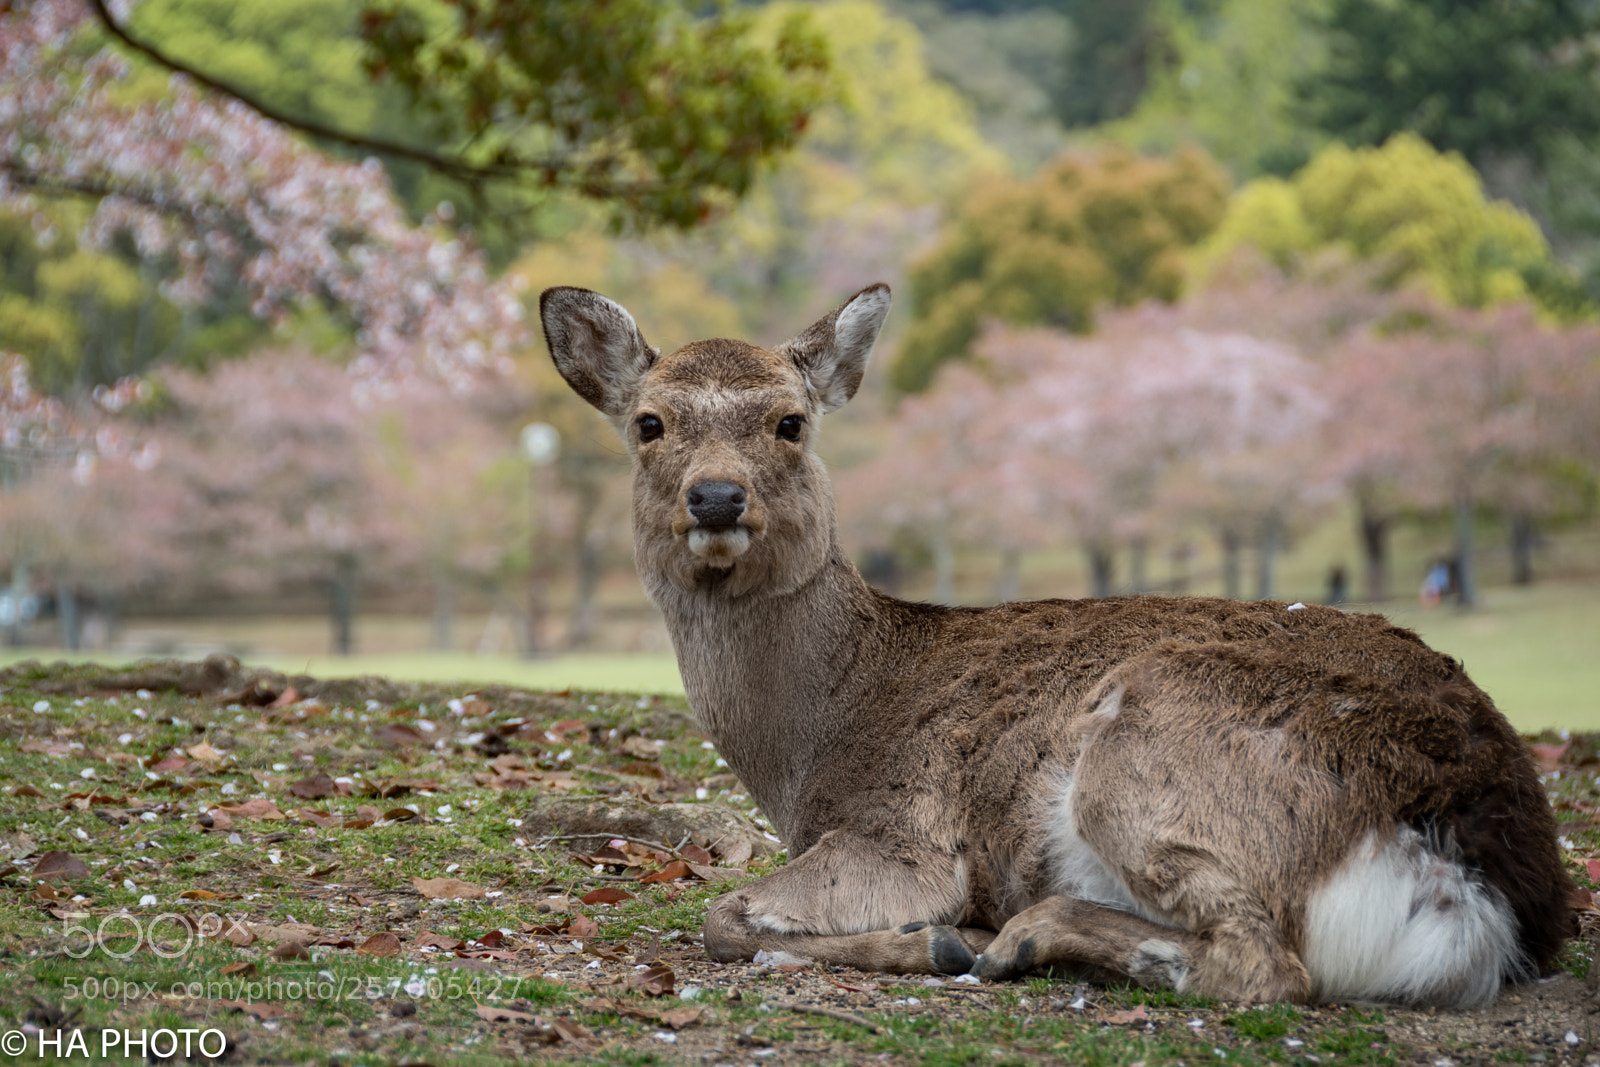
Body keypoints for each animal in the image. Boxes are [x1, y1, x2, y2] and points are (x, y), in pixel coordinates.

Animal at [540, 279, 1574, 1004]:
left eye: (790, 421)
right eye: (648, 422)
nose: (716, 497)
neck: (815, 746)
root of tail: (1486, 877)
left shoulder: (903, 833)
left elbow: (720, 915)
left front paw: (930, 937)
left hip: (1149, 748)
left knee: (1265, 964)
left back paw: (1009, 937)